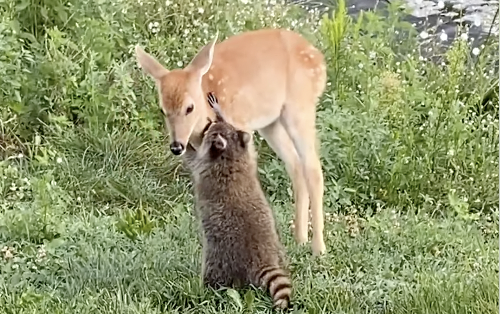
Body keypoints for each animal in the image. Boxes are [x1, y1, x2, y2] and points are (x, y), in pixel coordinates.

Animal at [184, 92, 292, 310]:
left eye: (208, 130)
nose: (207, 123)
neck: (230, 155)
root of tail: (264, 258)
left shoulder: (206, 165)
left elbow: (192, 158)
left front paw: (185, 145)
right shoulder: (247, 154)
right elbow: (248, 139)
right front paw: (221, 112)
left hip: (221, 257)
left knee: (214, 275)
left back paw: (205, 290)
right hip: (277, 246)